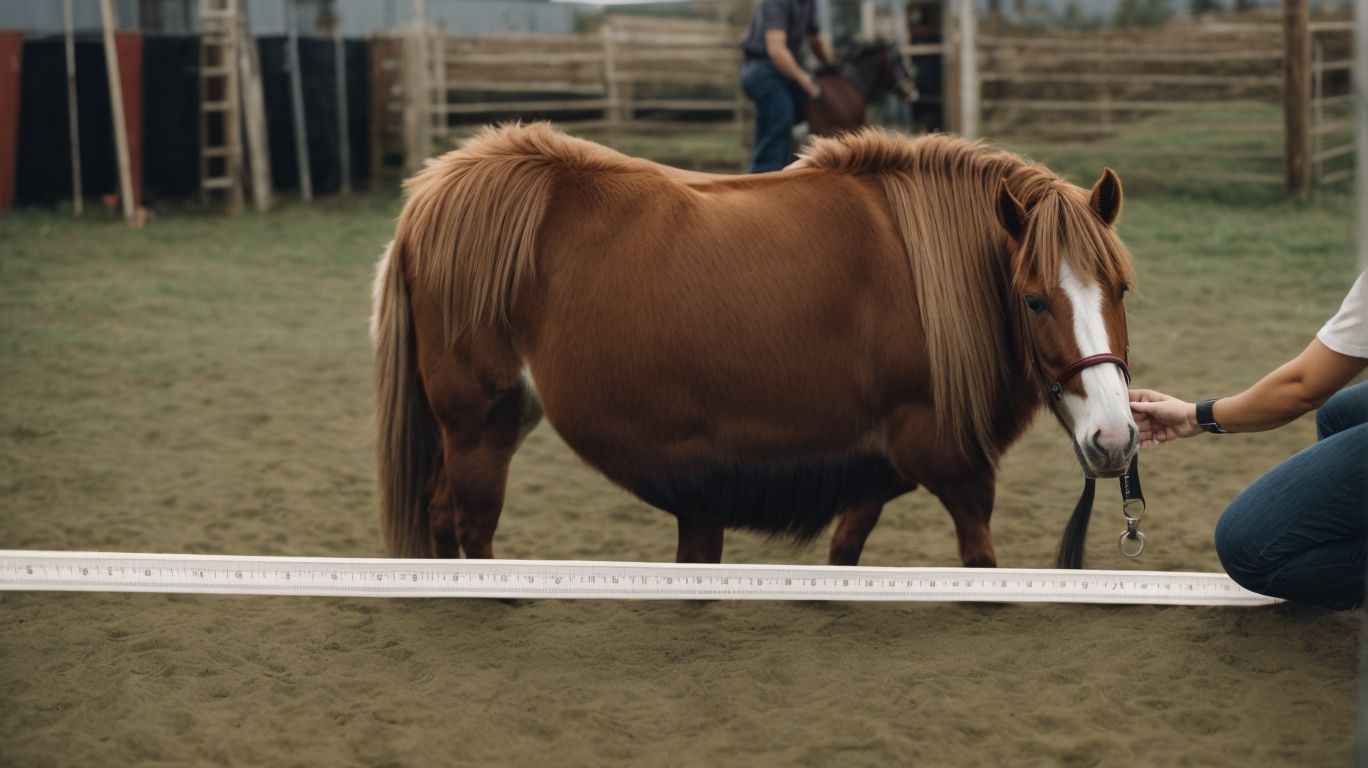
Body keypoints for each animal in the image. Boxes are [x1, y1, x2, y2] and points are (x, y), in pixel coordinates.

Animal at [372, 122, 1139, 568]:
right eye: (1034, 299)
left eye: (1121, 290)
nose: (1114, 437)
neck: (926, 277)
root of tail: (434, 195)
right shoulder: (951, 464)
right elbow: (981, 567)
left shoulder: (875, 463)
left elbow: (844, 551)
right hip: (480, 425)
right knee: (470, 527)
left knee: (440, 517)